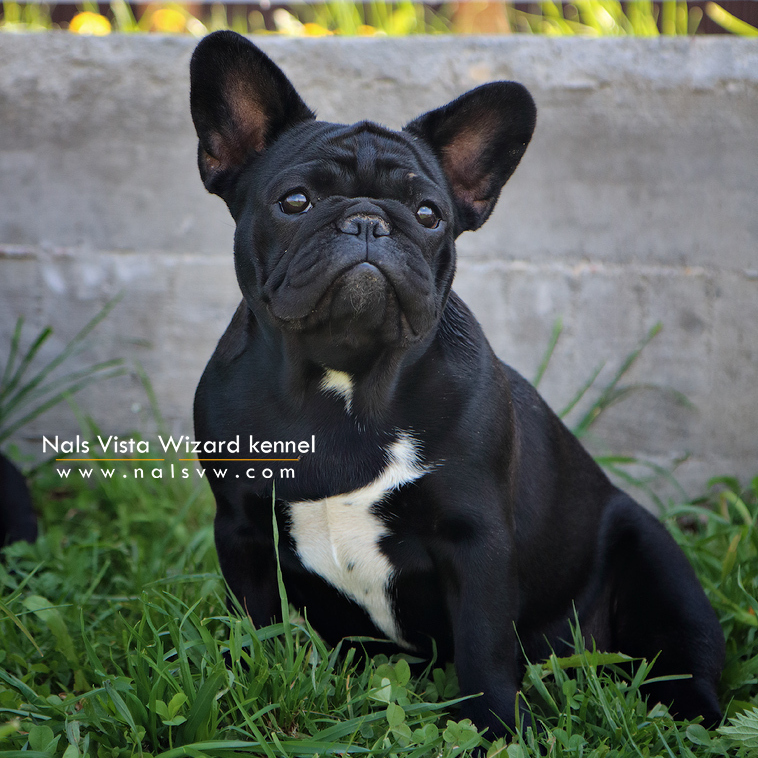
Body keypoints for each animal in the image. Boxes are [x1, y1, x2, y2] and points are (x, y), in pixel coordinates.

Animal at [190, 31, 724, 738]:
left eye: (428, 214)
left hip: (660, 569)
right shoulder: (243, 528)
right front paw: (250, 688)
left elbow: (483, 650)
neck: (345, 382)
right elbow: (256, 623)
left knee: (684, 659)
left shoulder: (477, 545)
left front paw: (495, 733)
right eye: (296, 202)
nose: (369, 221)